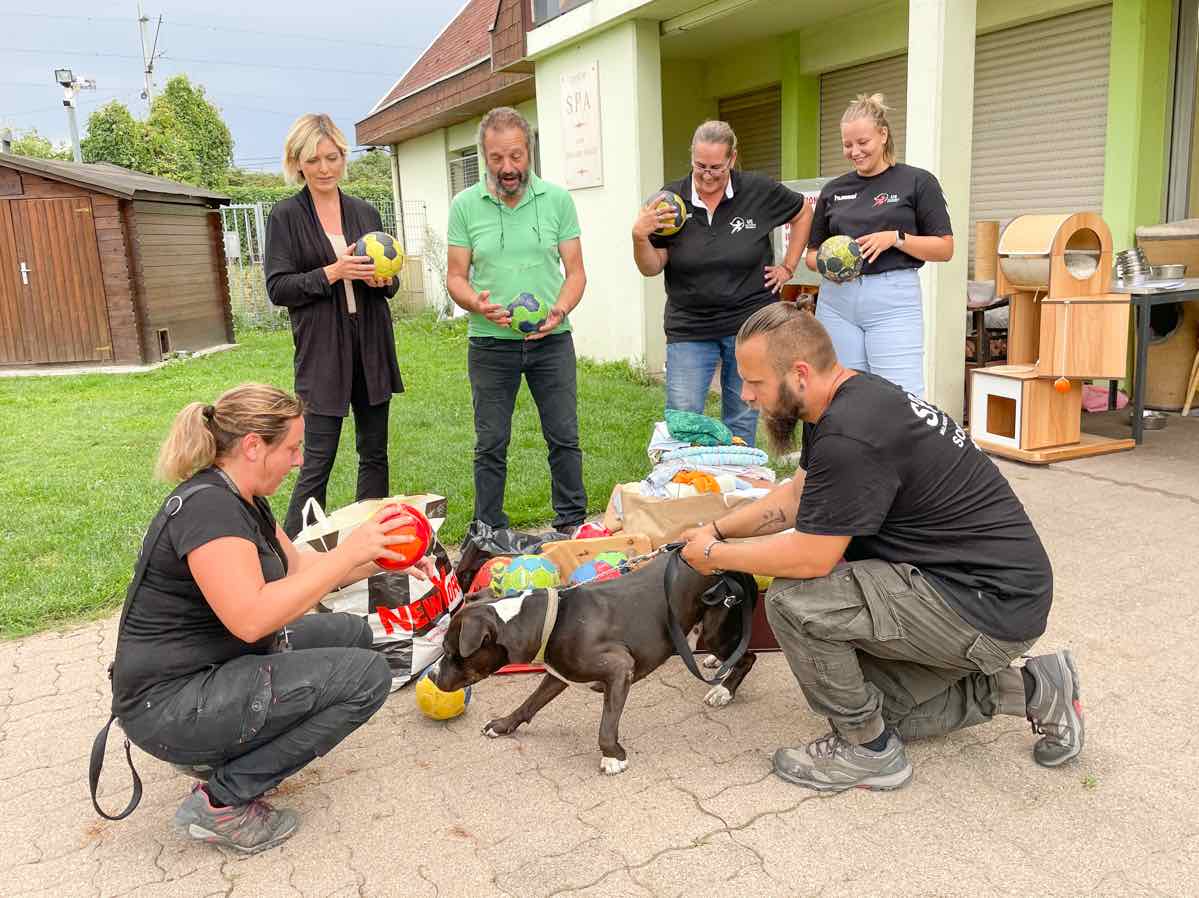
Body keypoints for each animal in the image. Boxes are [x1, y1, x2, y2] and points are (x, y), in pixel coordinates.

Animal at [426, 549, 752, 772]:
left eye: (450, 650)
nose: (430, 676)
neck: (547, 620)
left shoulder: (620, 669)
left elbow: (606, 726)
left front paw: (613, 757)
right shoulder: (558, 673)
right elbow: (531, 702)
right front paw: (504, 725)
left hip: (715, 627)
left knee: (747, 656)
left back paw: (724, 689)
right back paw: (714, 663)